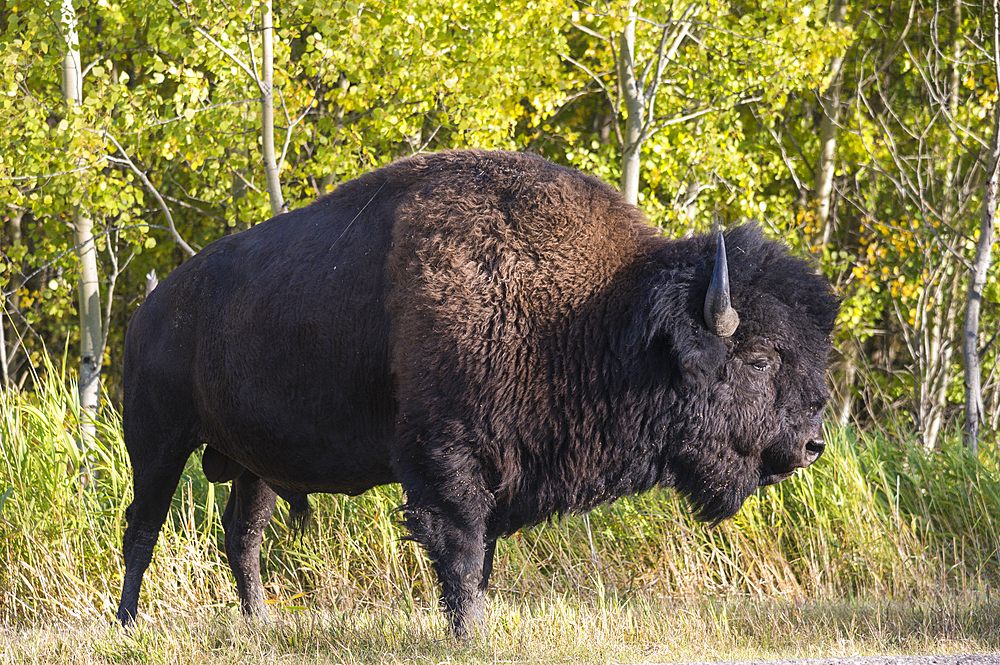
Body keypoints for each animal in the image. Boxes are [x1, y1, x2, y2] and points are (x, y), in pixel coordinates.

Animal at [115, 148, 836, 636]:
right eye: (759, 360)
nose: (811, 444)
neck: (597, 313)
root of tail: (150, 308)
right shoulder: (449, 461)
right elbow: (460, 552)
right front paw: (469, 636)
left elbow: (481, 556)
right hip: (158, 443)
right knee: (142, 528)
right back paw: (127, 623)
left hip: (254, 465)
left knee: (242, 537)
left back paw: (260, 623)